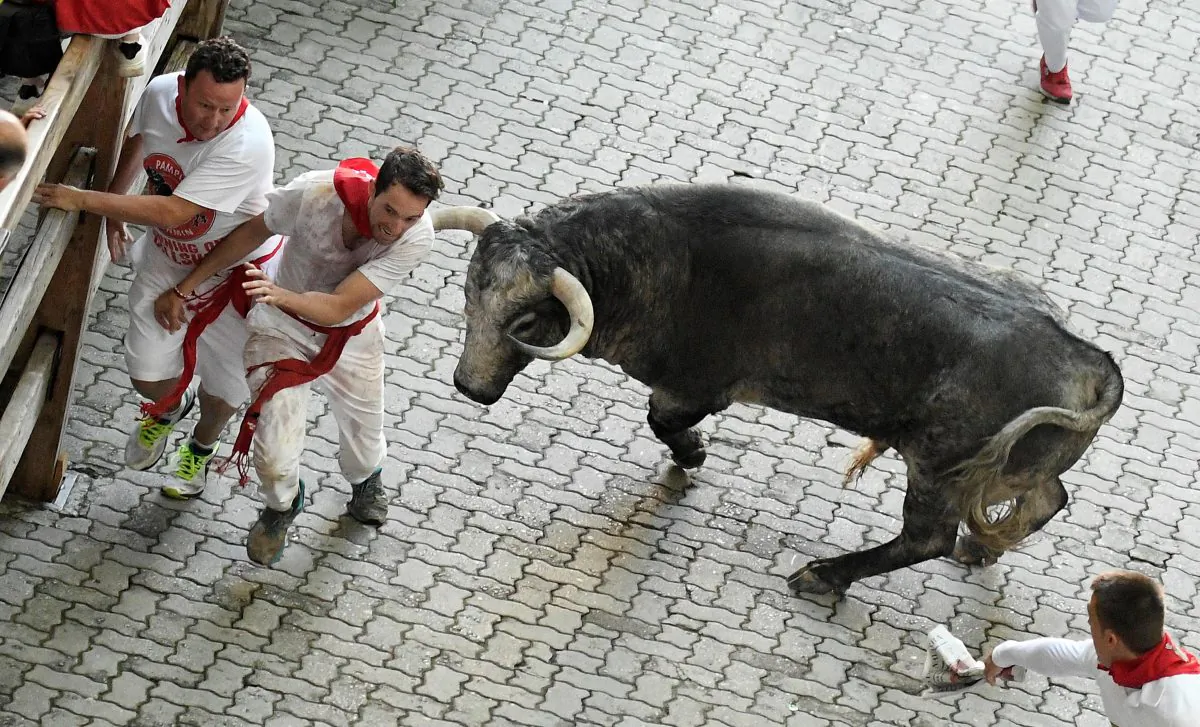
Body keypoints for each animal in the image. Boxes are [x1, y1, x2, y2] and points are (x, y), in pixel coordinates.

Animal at [431, 184, 1124, 597]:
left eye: (523, 324)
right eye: (468, 292)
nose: (469, 385)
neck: (656, 259)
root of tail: (1090, 360)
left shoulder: (695, 387)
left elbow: (663, 422)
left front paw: (694, 455)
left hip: (936, 467)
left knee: (926, 539)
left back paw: (826, 574)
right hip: (1007, 470)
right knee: (1047, 499)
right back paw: (982, 548)